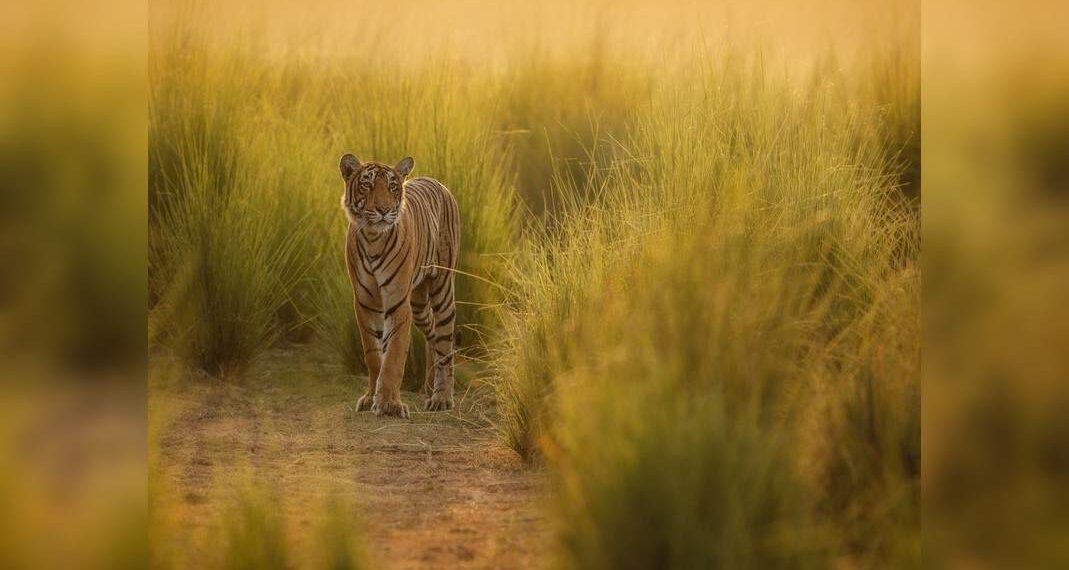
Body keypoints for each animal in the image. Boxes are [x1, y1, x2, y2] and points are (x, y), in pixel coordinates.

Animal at [338, 153, 460, 418]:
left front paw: (388, 404)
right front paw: (370, 398)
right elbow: (374, 356)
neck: (373, 238)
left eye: (392, 187)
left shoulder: (397, 302)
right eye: (367, 185)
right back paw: (428, 387)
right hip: (419, 303)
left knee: (445, 343)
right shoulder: (365, 303)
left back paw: (442, 397)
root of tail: (438, 182)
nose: (383, 210)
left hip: (442, 288)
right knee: (432, 333)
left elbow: (393, 356)